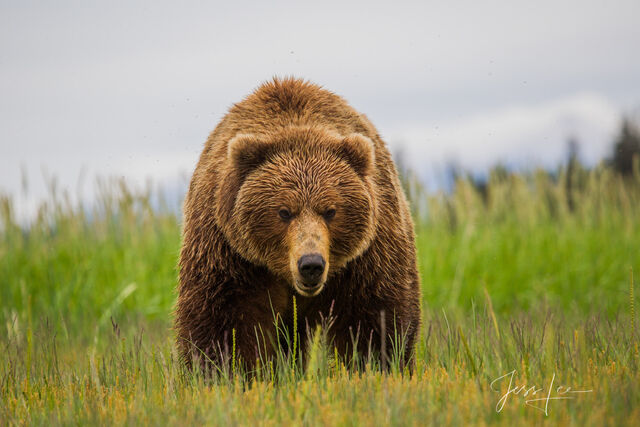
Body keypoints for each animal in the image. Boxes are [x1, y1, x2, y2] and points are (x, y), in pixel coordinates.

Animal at [175, 77, 422, 372]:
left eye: (330, 210)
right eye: (283, 211)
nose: (311, 264)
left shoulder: (369, 253)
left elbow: (374, 319)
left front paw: (377, 366)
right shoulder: (228, 250)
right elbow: (221, 319)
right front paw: (224, 371)